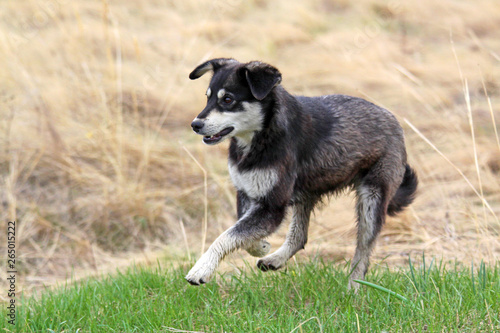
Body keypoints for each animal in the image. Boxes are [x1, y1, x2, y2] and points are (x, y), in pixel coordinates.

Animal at [186, 57, 416, 288]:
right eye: (207, 98)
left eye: (228, 99)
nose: (195, 124)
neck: (262, 134)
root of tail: (392, 119)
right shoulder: (247, 193)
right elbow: (240, 233)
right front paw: (260, 246)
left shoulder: (272, 205)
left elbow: (227, 236)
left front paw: (202, 269)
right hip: (306, 193)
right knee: (300, 237)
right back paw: (275, 259)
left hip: (371, 200)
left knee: (363, 251)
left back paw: (353, 288)